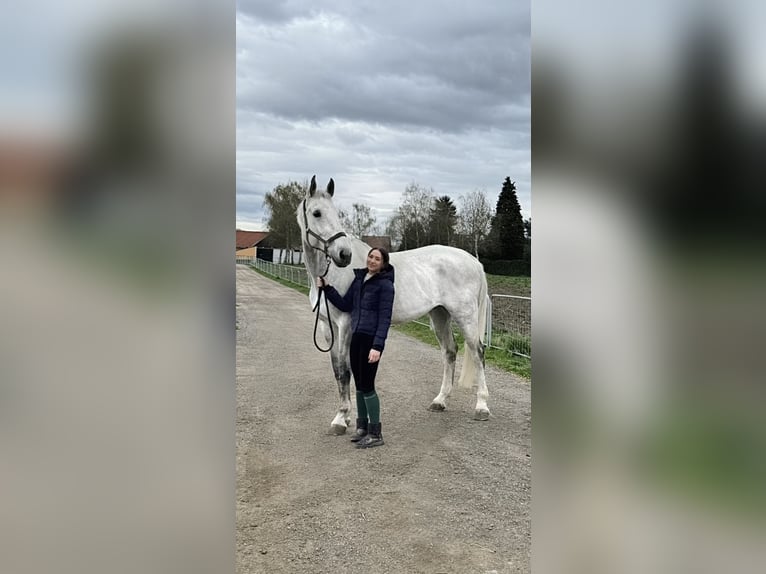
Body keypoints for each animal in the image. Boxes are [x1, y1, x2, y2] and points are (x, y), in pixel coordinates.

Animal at [297, 175, 490, 434]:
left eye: (336, 213)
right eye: (317, 213)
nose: (343, 254)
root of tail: (473, 260)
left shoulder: (346, 325)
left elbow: (346, 370)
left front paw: (341, 418)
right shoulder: (328, 328)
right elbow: (338, 371)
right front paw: (343, 417)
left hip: (465, 316)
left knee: (477, 352)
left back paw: (482, 407)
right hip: (440, 315)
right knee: (450, 352)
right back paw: (440, 401)